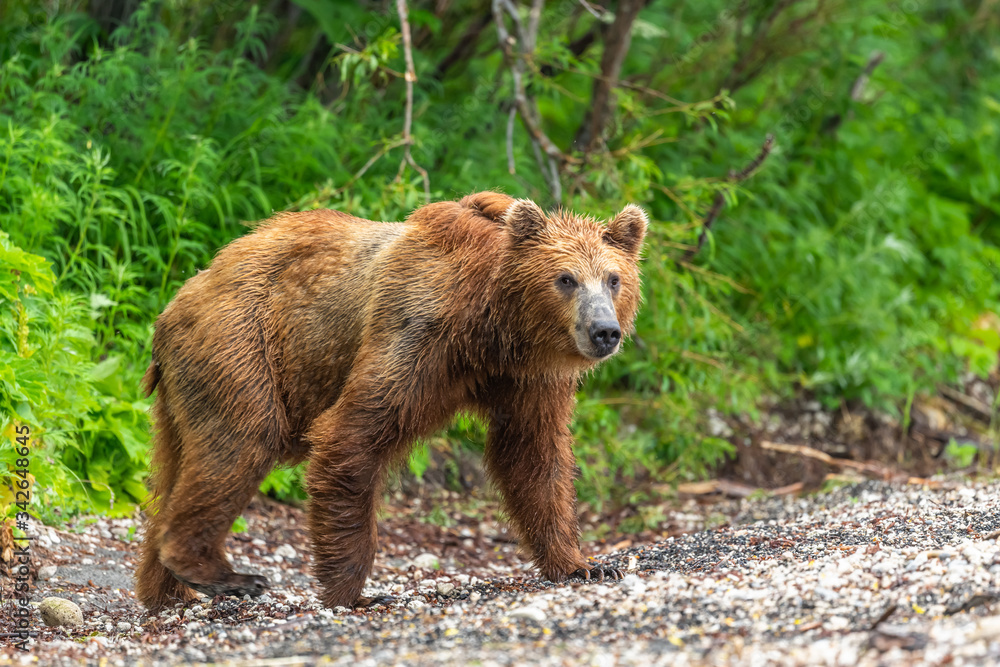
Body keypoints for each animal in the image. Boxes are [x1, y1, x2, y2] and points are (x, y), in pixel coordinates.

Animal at [135, 191, 647, 611]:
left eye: (613, 279)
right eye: (566, 279)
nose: (604, 331)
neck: (492, 329)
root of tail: (175, 304)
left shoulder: (527, 378)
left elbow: (533, 456)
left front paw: (585, 564)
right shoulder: (417, 331)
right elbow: (352, 436)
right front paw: (354, 593)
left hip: (189, 385)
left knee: (179, 466)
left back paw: (167, 589)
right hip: (241, 345)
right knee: (241, 442)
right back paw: (223, 573)